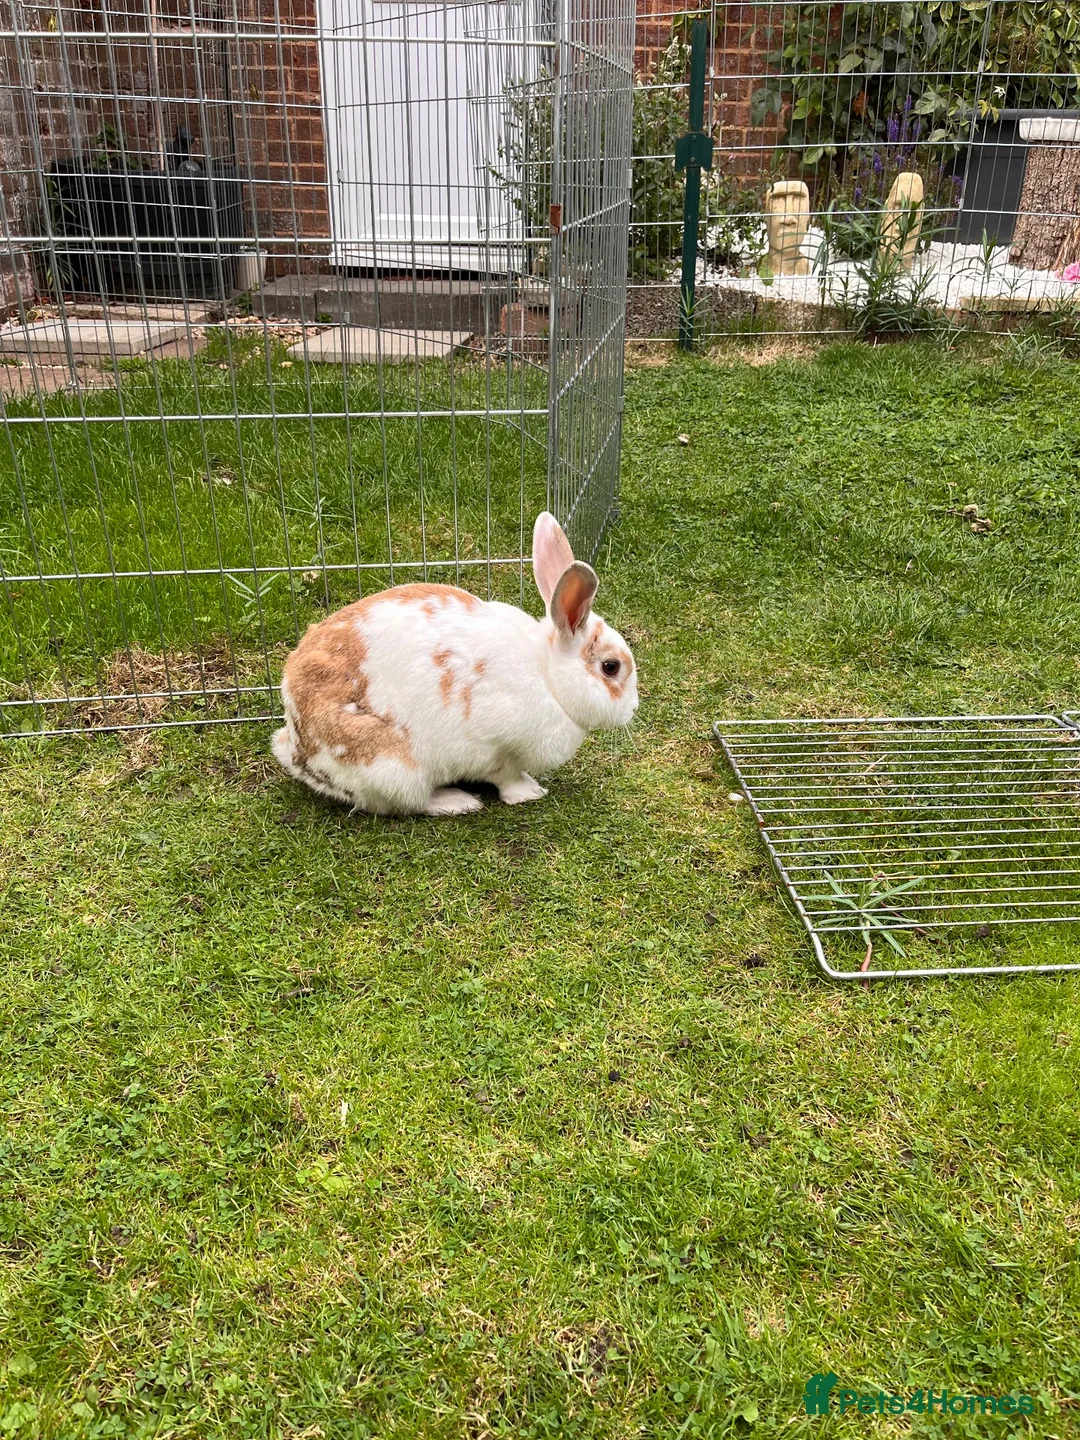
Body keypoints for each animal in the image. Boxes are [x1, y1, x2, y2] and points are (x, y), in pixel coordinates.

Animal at [271, 511, 638, 815]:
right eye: (611, 667)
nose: (633, 709)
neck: (547, 677)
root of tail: (296, 748)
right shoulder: (494, 745)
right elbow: (505, 775)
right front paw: (528, 793)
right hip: (392, 766)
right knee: (404, 804)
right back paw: (457, 801)